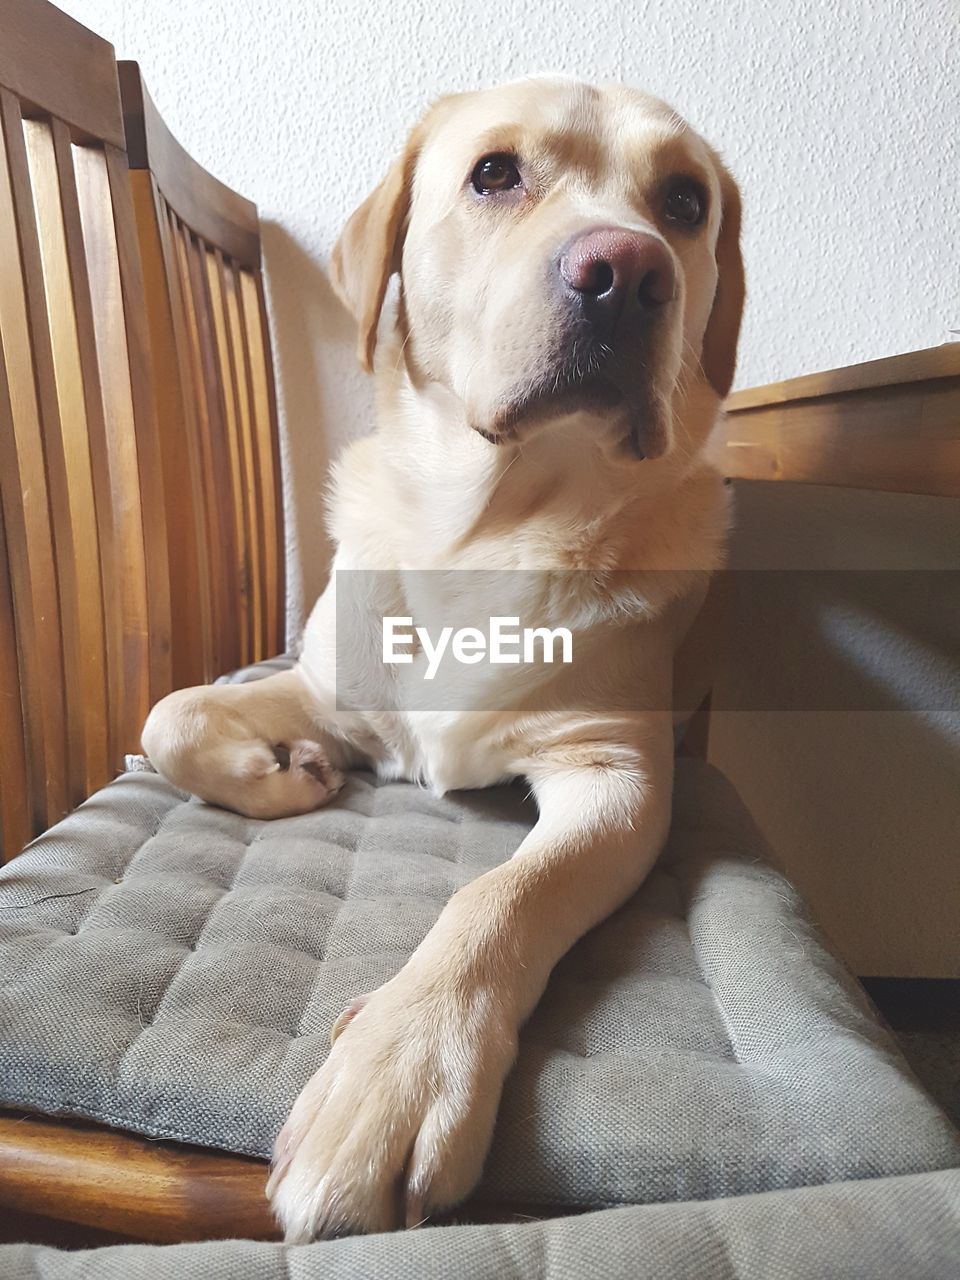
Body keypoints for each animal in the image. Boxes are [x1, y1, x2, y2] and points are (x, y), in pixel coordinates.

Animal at [140, 77, 742, 1239]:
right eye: (495, 174)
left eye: (686, 201)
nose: (630, 270)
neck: (492, 531)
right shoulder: (326, 687)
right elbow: (169, 717)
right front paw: (281, 776)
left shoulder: (622, 777)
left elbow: (500, 896)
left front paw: (399, 1068)